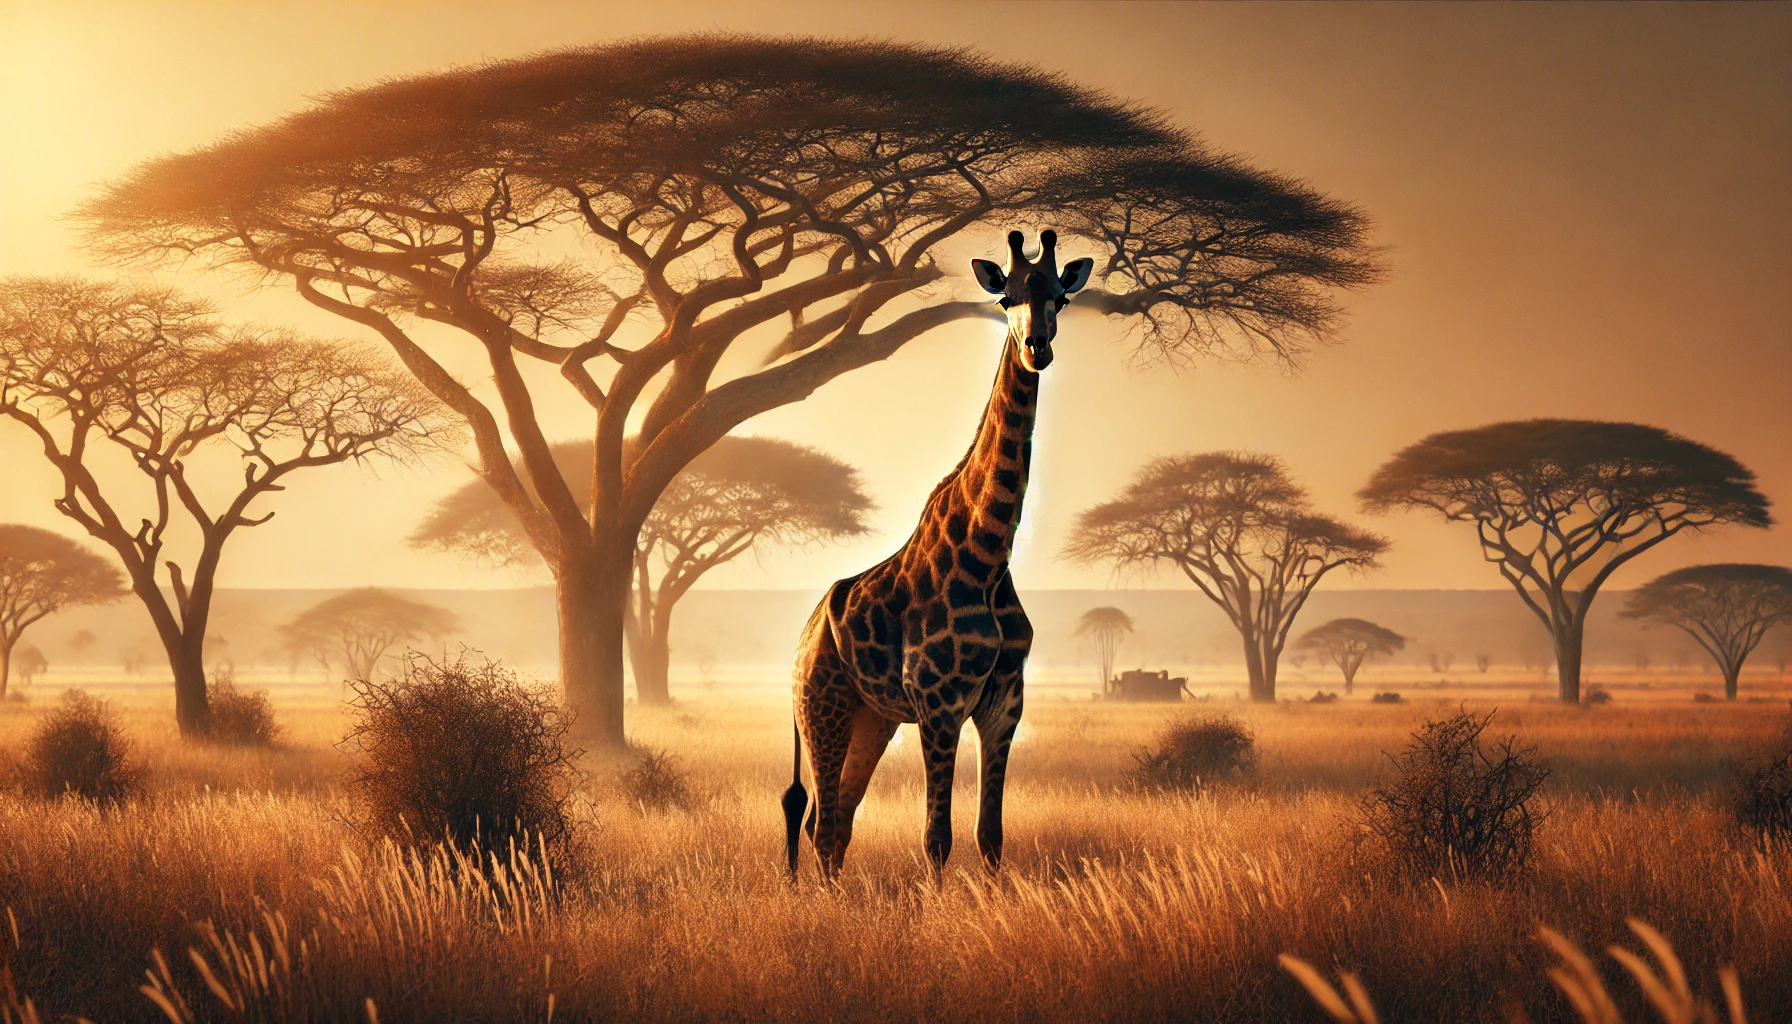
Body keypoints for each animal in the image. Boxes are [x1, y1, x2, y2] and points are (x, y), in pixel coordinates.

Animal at [781, 228, 1094, 880]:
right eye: (1006, 298)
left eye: (1061, 297)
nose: (1037, 348)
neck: (989, 553)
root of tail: (803, 636)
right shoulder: (939, 704)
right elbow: (936, 838)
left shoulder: (1004, 704)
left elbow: (990, 837)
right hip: (822, 706)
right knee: (819, 824)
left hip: (871, 720)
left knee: (837, 823)